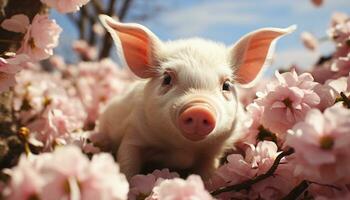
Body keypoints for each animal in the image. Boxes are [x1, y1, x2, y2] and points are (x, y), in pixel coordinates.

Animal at [96, 14, 296, 180]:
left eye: (226, 85)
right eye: (167, 78)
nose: (199, 108)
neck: (183, 149)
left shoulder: (212, 153)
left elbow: (207, 174)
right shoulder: (133, 133)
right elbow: (127, 164)